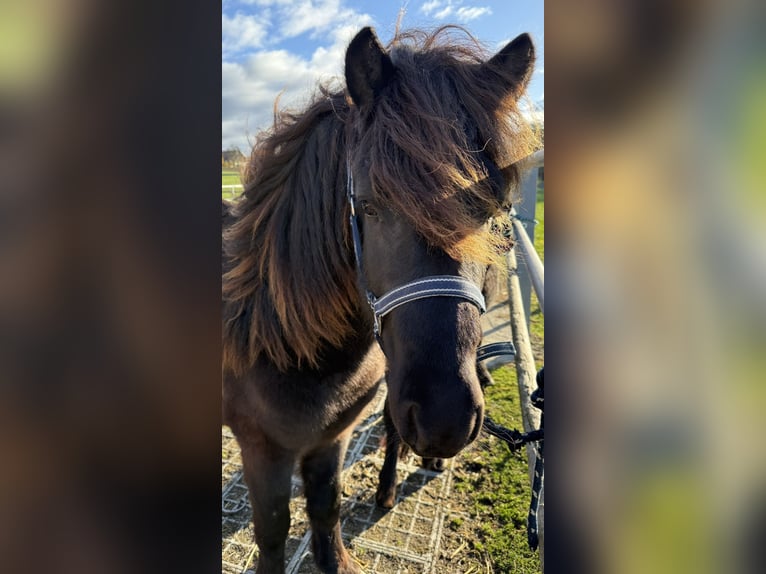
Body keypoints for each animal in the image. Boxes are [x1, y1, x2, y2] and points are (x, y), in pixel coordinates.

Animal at [222, 25, 535, 574]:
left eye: (495, 210)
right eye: (369, 204)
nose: (444, 417)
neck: (283, 342)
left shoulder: (332, 438)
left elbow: (325, 508)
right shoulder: (261, 450)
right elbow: (274, 531)